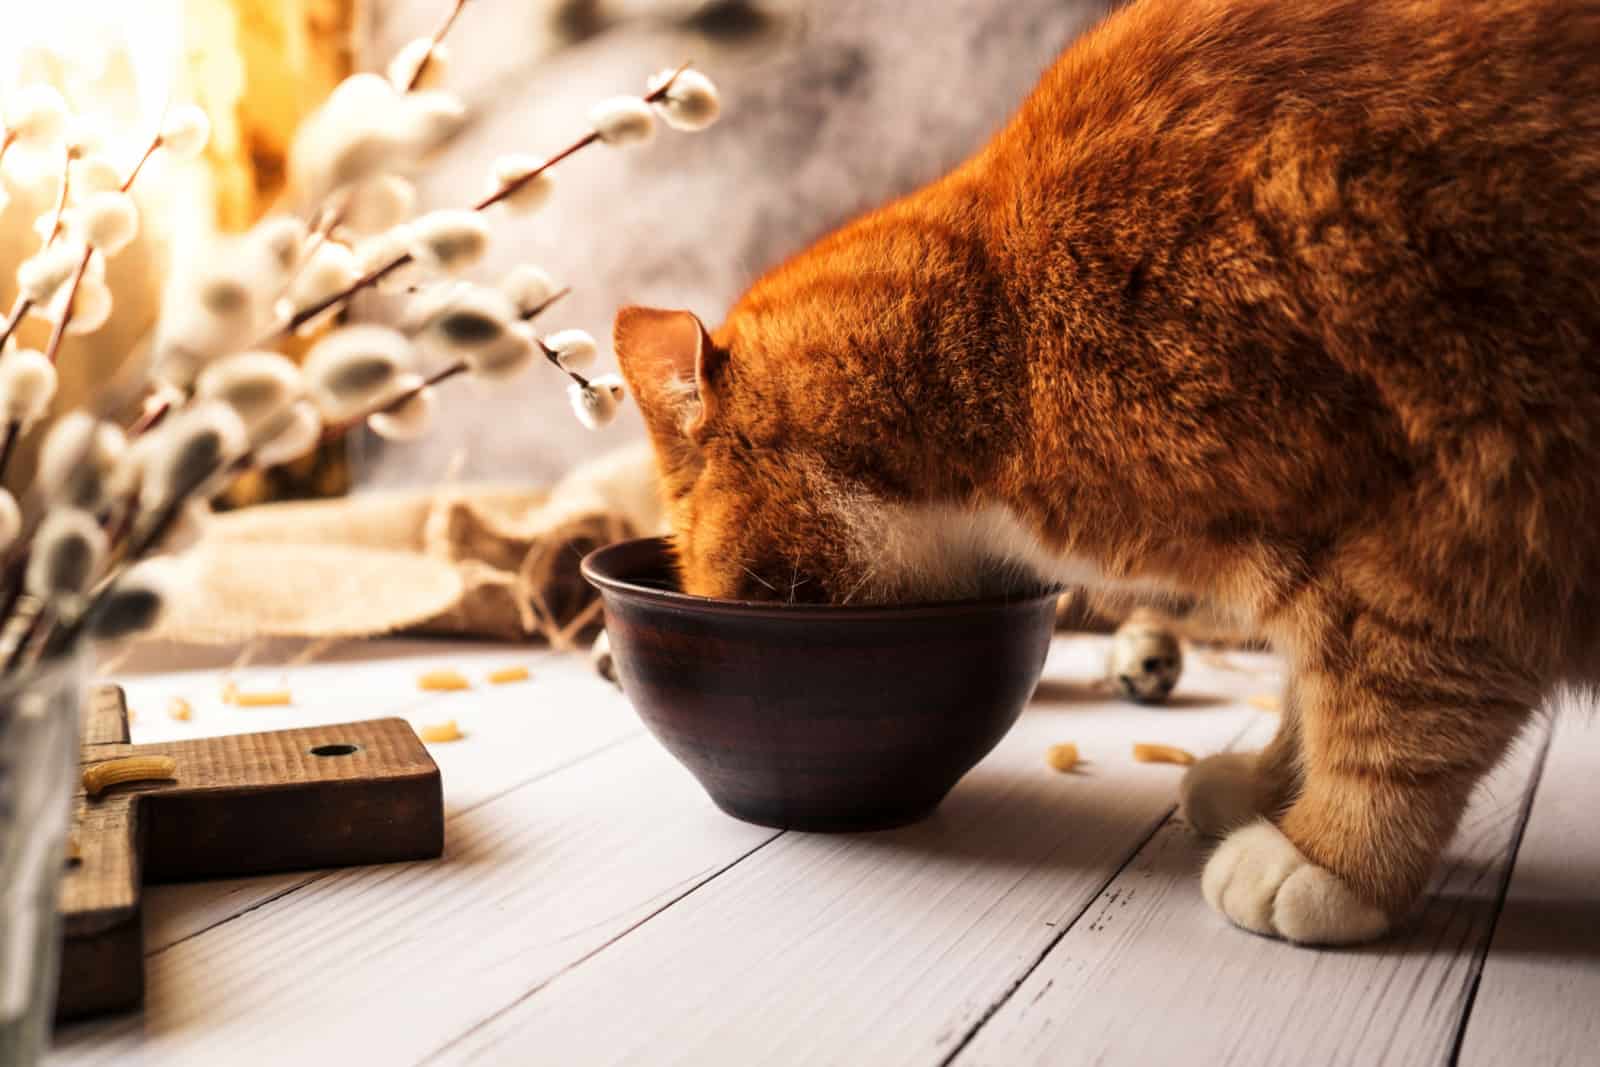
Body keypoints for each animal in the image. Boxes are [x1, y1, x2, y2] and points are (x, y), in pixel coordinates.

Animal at [608, 0, 1600, 940]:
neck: (996, 338)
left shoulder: (1446, 533)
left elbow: (1393, 719)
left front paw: (1325, 857)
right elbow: (1306, 688)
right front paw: (1271, 784)